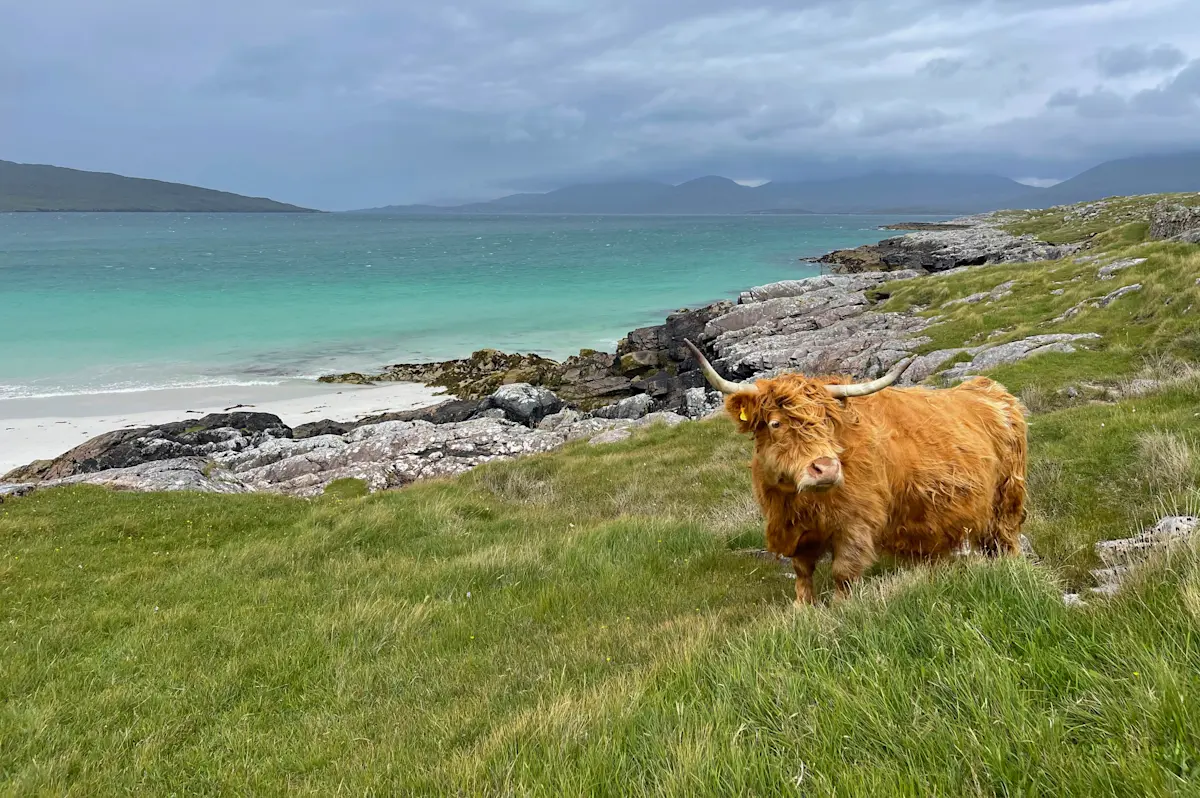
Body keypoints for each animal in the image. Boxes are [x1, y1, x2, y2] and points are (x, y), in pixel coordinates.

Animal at [684, 341, 1027, 605]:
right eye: (775, 423)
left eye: (827, 422)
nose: (826, 468)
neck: (801, 503)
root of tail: (990, 389)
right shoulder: (795, 529)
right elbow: (802, 571)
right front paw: (802, 608)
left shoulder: (856, 524)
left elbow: (843, 572)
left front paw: (840, 608)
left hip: (1007, 500)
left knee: (1005, 540)